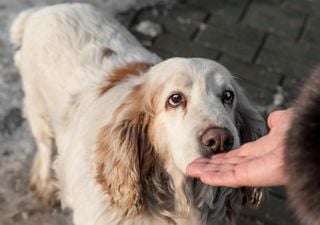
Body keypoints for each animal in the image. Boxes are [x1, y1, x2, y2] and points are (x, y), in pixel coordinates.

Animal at [9, 3, 264, 225]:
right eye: (175, 99)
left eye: (228, 96)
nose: (219, 140)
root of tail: (43, 10)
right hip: (39, 110)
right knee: (45, 148)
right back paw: (45, 184)